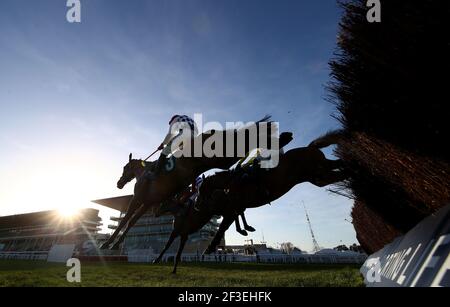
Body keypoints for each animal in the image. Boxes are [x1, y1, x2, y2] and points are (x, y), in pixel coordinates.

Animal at [100, 115, 284, 250]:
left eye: (125, 168)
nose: (119, 184)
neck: (145, 173)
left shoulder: (137, 199)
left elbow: (125, 221)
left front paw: (107, 244)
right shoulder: (148, 203)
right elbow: (131, 222)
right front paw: (115, 244)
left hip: (216, 158)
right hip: (219, 161)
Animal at [153, 130, 346, 274]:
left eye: (201, 190)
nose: (197, 206)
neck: (229, 183)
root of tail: (310, 148)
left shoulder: (232, 208)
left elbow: (224, 227)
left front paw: (210, 248)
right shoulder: (233, 208)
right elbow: (231, 223)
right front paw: (240, 232)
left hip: (317, 172)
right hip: (318, 175)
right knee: (339, 166)